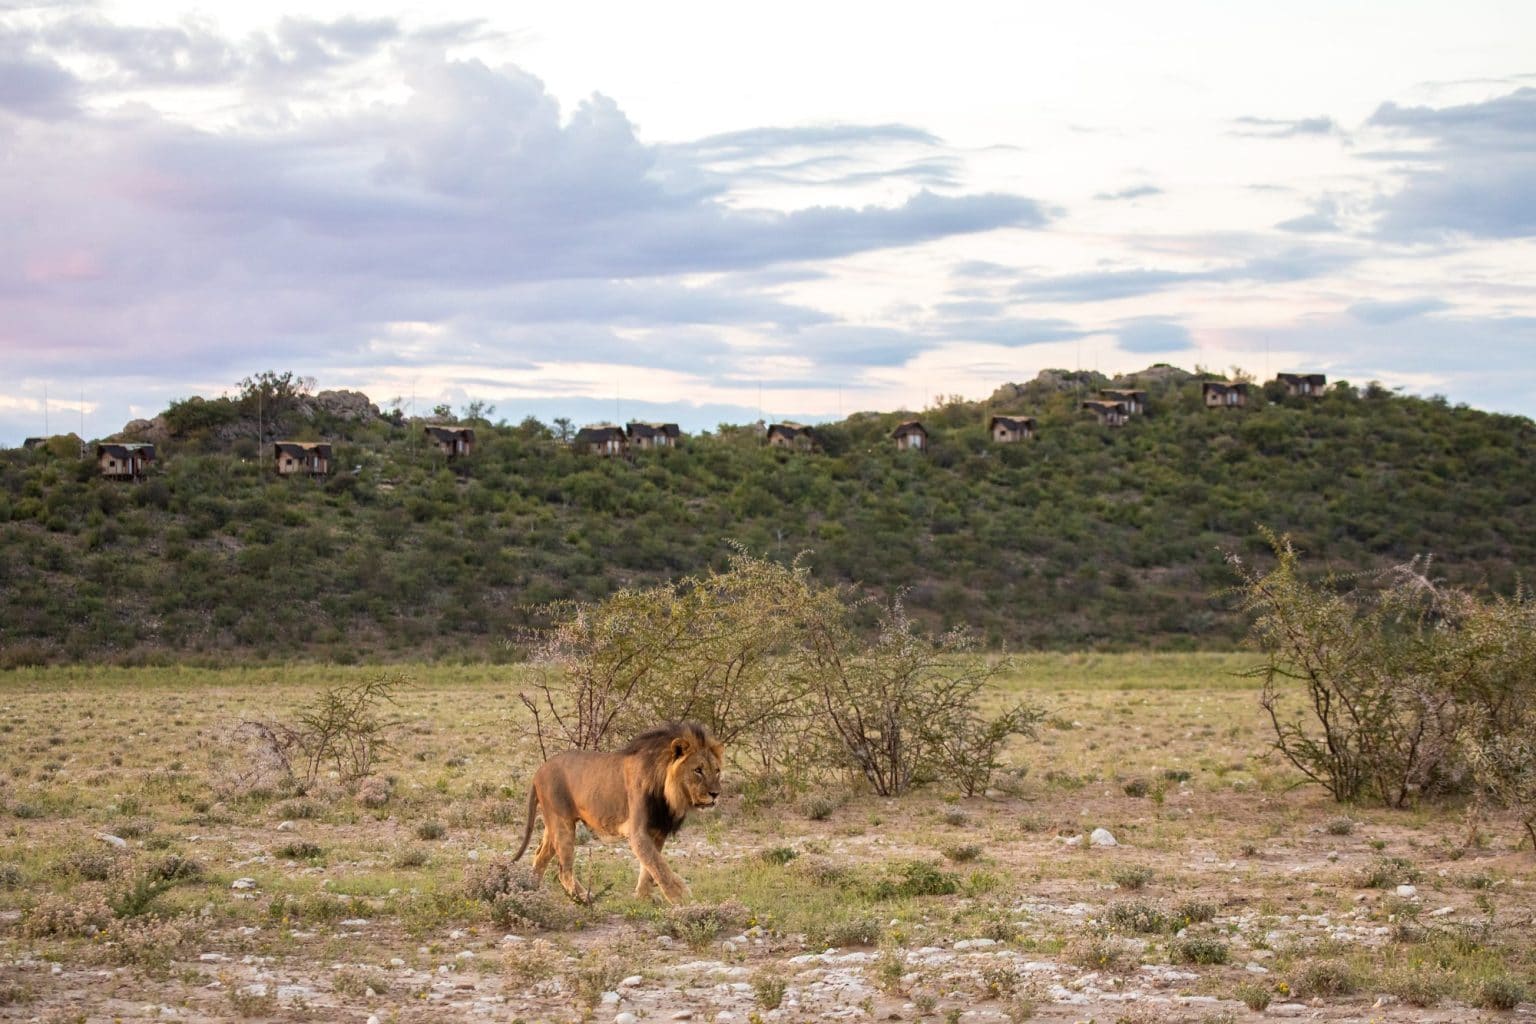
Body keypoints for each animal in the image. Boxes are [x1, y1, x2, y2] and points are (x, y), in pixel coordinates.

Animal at [512, 721, 723, 905]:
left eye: (717, 770)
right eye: (698, 770)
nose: (715, 794)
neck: (666, 790)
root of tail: (539, 771)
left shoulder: (657, 831)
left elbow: (650, 868)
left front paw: (644, 897)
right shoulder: (638, 833)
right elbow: (659, 867)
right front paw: (681, 898)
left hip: (553, 825)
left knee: (540, 857)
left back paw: (530, 892)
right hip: (562, 823)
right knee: (563, 870)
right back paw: (585, 898)